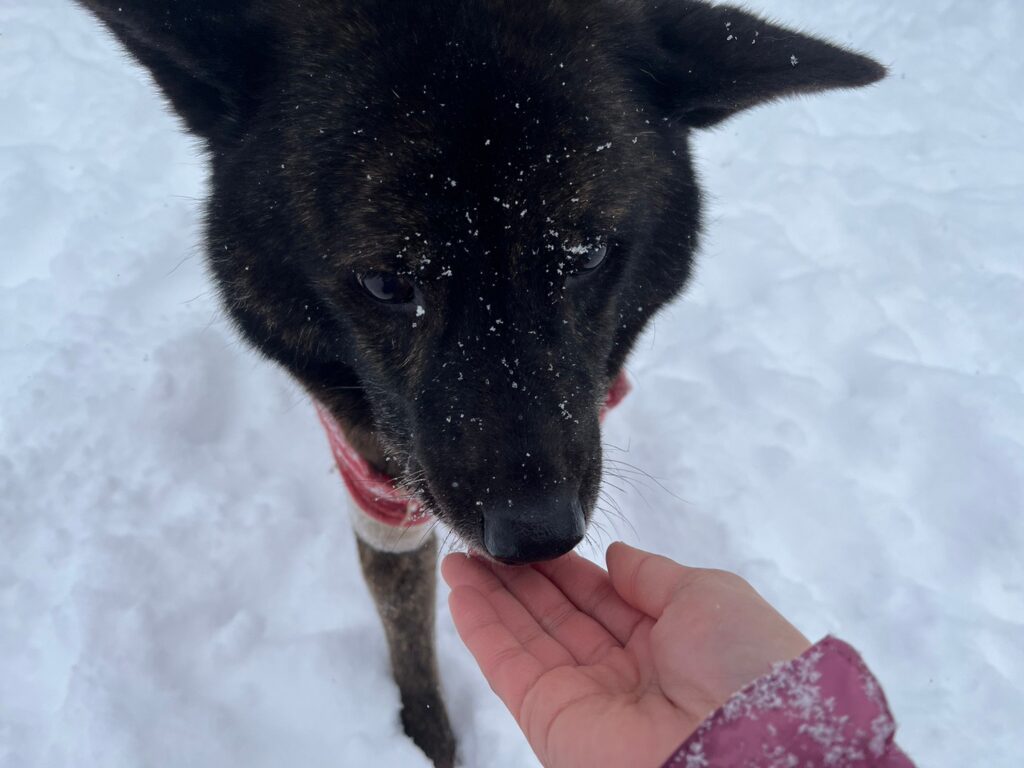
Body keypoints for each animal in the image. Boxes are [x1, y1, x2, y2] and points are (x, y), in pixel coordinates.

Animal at [74, 1, 884, 764]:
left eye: (588, 255)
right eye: (386, 283)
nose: (538, 536)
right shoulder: (377, 472)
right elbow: (405, 621)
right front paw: (428, 740)